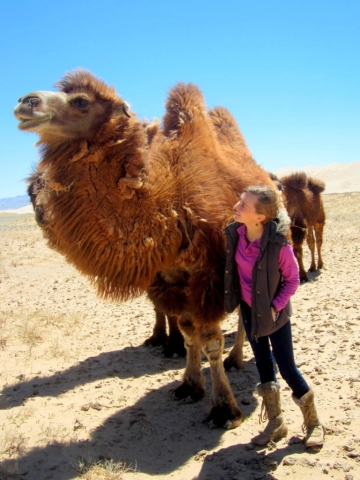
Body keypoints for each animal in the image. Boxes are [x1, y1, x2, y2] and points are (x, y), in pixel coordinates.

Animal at [14, 69, 276, 430]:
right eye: (29, 192)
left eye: (81, 101)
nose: (26, 101)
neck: (167, 202)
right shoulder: (168, 277)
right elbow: (189, 332)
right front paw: (189, 386)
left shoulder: (209, 273)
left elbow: (210, 340)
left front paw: (224, 409)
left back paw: (236, 359)